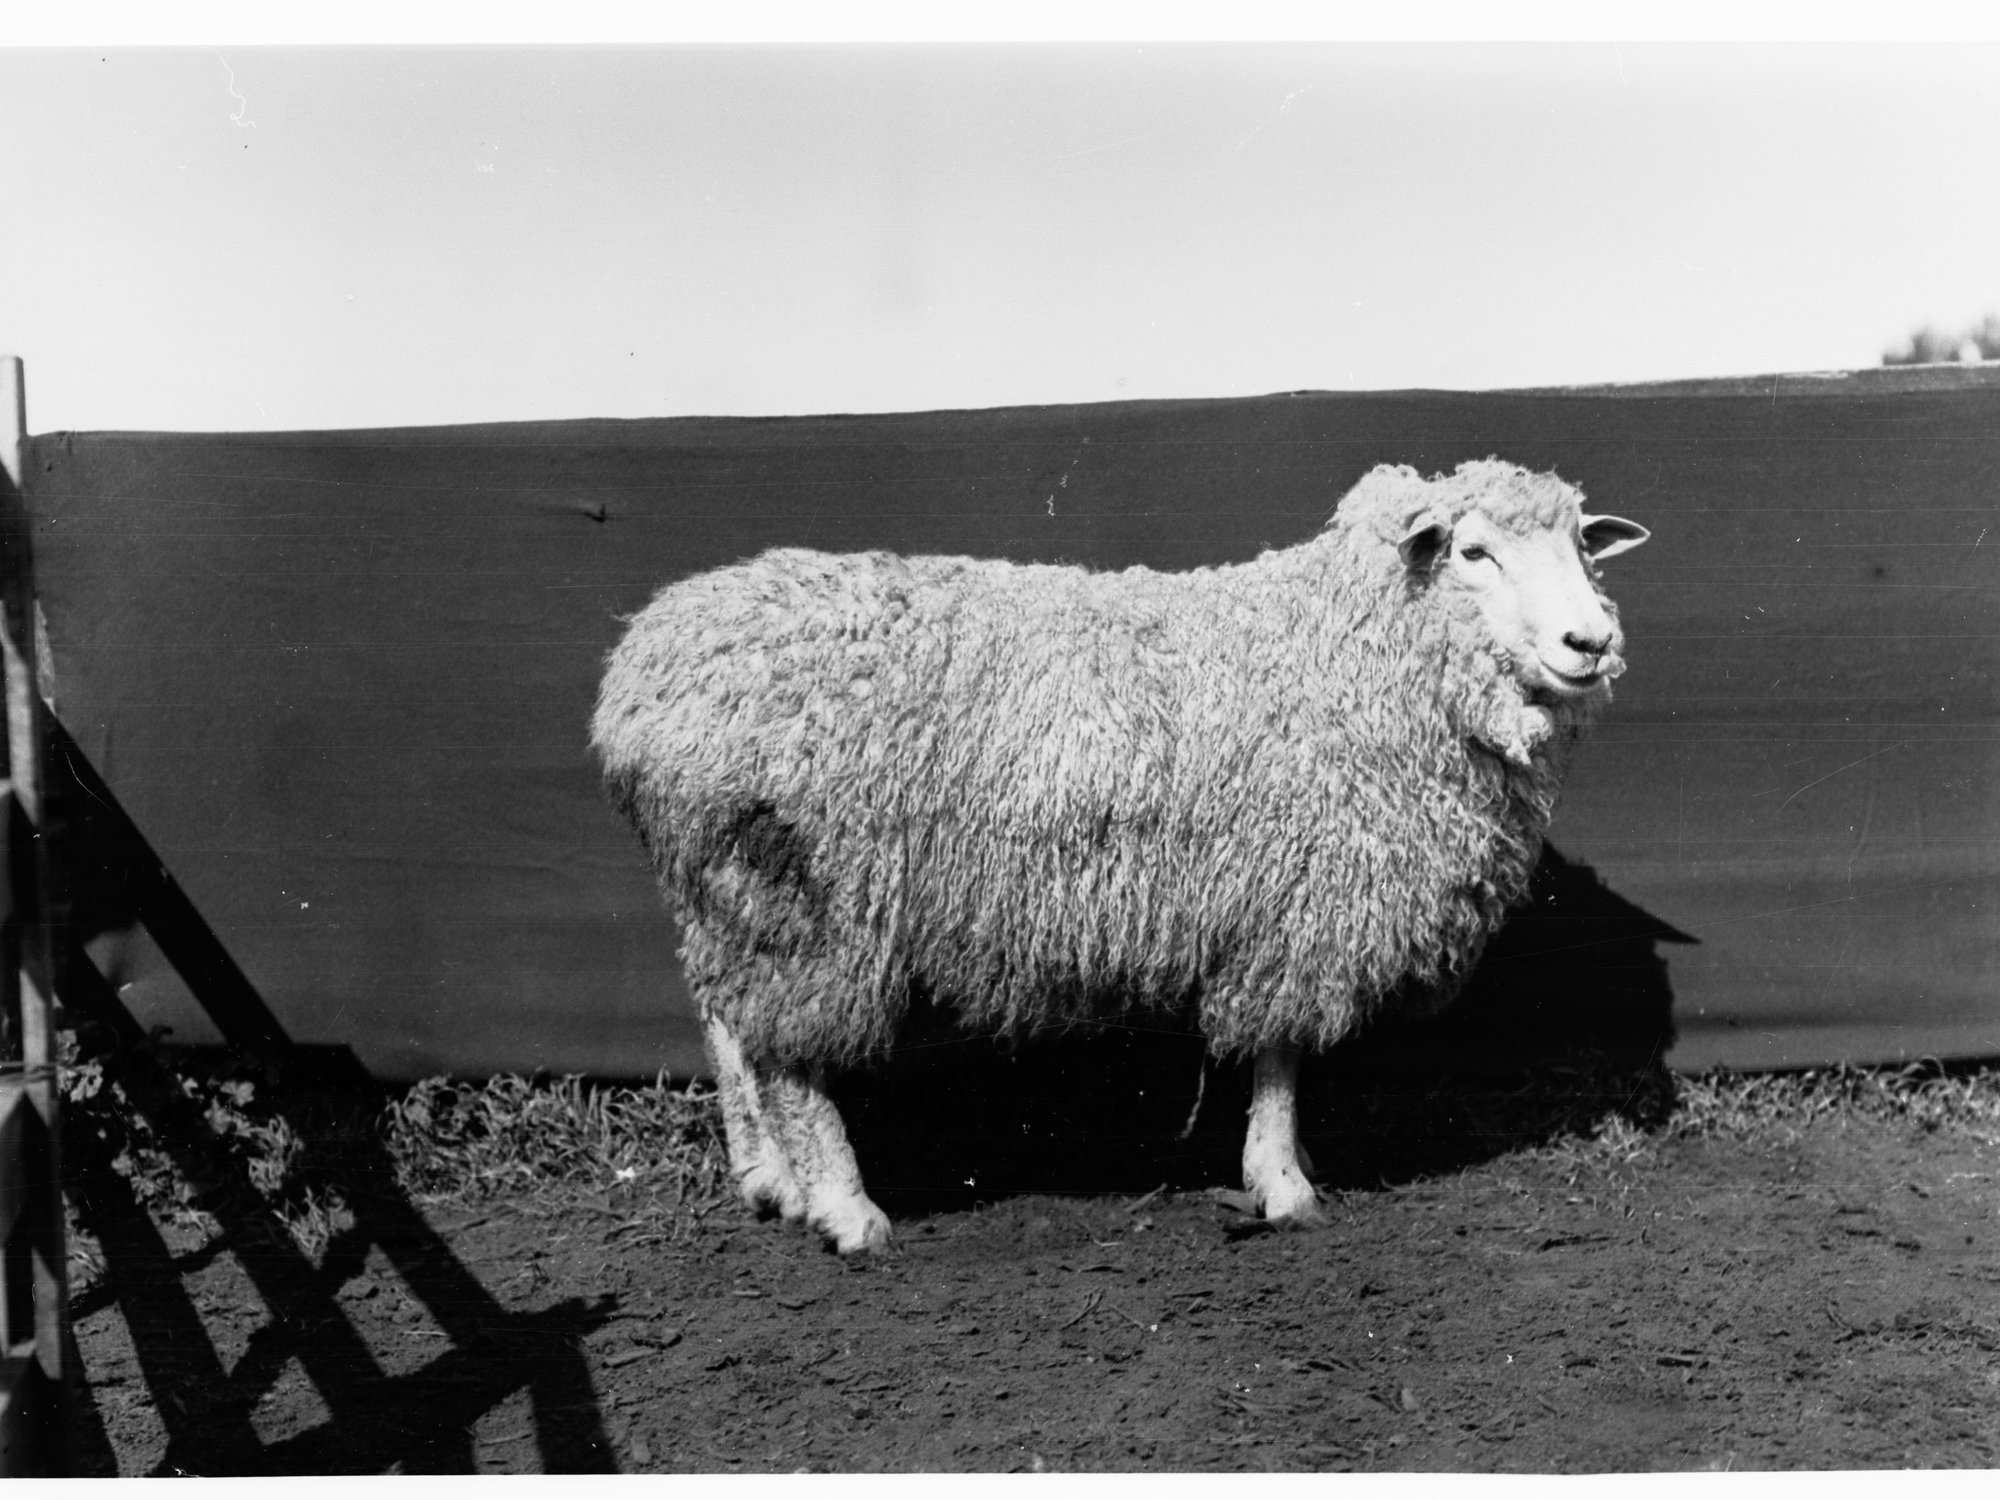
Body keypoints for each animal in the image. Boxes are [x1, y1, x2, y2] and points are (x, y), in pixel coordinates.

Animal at [591, 457, 1649, 1254]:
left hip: (726, 890)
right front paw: (1282, 1183)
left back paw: (767, 1178)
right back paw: (844, 1209)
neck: (1346, 658)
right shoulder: (1295, 905)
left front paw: (1280, 1171)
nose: (1590, 641)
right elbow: (1281, 1058)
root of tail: (641, 666)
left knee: (732, 1030)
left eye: (1580, 546)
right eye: (1474, 551)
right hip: (807, 895)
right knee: (793, 1060)